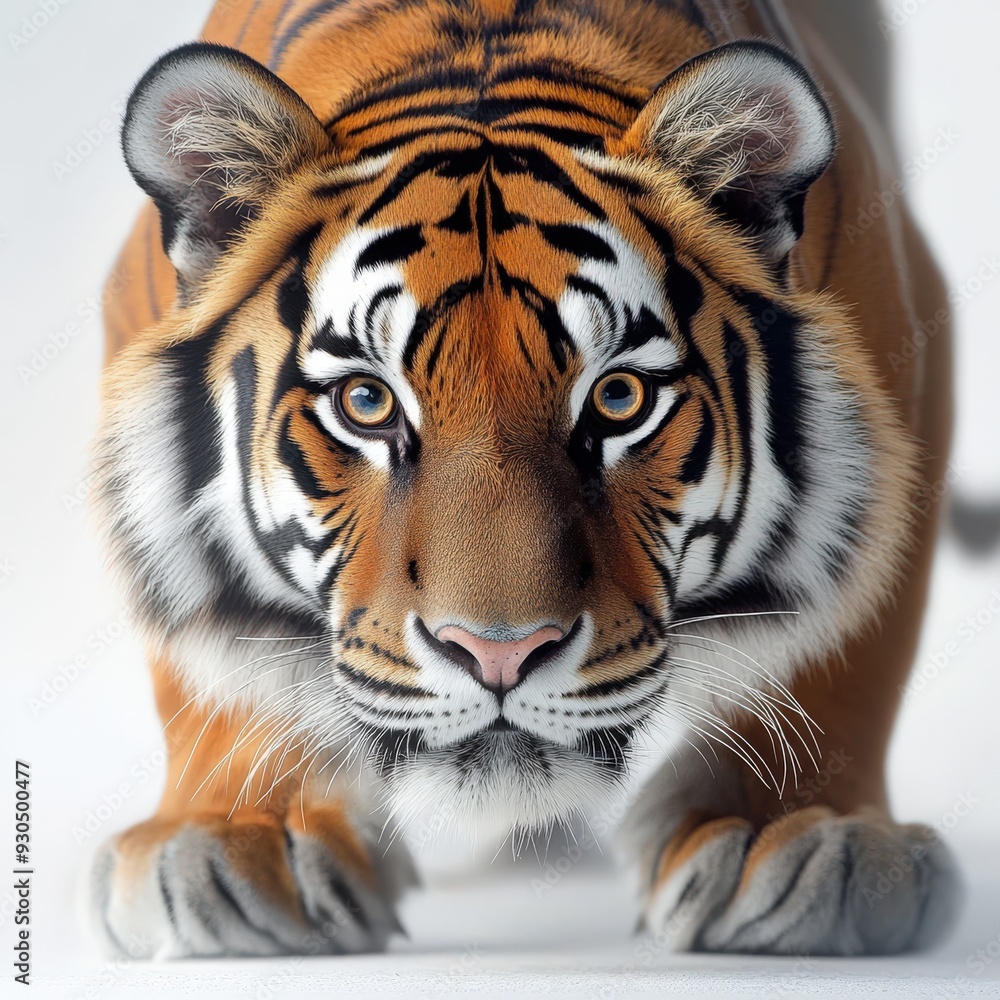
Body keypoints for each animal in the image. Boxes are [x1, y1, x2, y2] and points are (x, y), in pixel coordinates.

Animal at [91, 0, 960, 959]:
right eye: (366, 402)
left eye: (618, 398)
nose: (499, 654)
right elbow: (211, 644)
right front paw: (242, 837)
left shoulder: (907, 349)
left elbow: (847, 636)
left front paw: (803, 831)